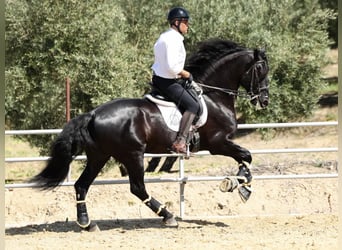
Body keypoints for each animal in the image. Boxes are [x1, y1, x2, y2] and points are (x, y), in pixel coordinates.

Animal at [30, 39, 268, 230]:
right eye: (260, 69)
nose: (264, 100)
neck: (214, 96)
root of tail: (93, 114)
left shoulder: (220, 143)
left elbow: (245, 157)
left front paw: (240, 185)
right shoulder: (218, 142)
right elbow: (246, 156)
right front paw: (239, 185)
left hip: (100, 155)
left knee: (82, 185)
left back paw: (86, 223)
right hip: (132, 154)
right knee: (137, 188)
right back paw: (168, 216)